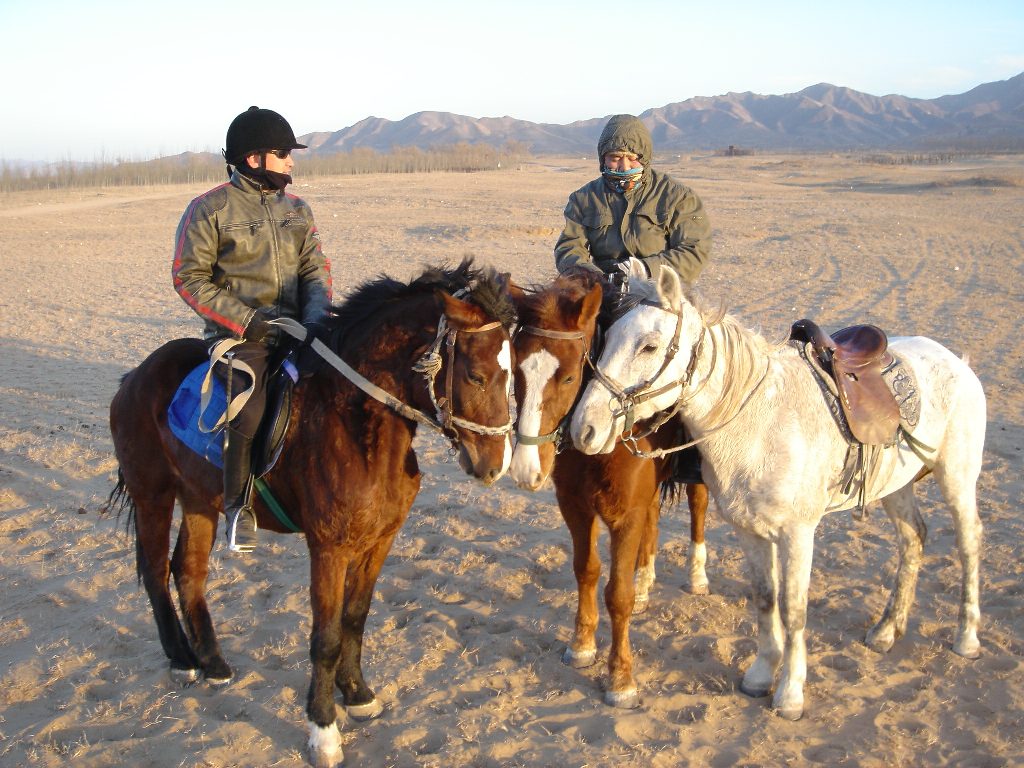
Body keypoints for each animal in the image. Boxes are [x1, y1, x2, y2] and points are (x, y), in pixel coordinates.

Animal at [110, 262, 520, 765]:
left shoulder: (379, 540)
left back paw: (213, 662)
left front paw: (358, 694)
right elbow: (325, 638)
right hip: (153, 493)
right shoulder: (328, 547)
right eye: (477, 376)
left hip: (199, 498)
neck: (355, 423)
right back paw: (182, 660)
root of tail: (136, 375)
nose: (495, 464)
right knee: (153, 571)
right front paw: (323, 728)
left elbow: (354, 619)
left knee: (187, 571)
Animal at [507, 270, 708, 708]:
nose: (525, 470)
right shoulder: (575, 507)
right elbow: (586, 571)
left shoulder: (624, 515)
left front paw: (620, 677)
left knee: (698, 509)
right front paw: (582, 645)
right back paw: (646, 579)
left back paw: (697, 575)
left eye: (568, 375)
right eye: (515, 371)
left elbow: (618, 594)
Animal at [569, 264, 983, 720]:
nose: (583, 428)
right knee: (912, 540)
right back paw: (887, 630)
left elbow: (794, 609)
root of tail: (955, 361)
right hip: (897, 487)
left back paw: (967, 636)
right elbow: (766, 600)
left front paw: (790, 693)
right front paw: (761, 674)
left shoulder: (798, 534)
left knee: (969, 542)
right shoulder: (749, 531)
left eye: (649, 345)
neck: (760, 423)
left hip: (958, 477)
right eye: (609, 335)